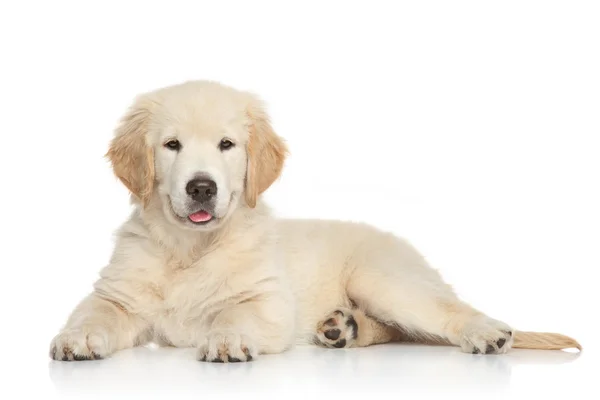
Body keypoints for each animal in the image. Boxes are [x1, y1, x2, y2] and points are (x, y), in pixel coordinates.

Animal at [48, 81, 580, 362]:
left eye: (226, 145)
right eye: (171, 145)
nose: (201, 187)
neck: (190, 248)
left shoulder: (267, 302)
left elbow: (233, 312)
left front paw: (228, 339)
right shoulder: (116, 294)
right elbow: (94, 312)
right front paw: (77, 338)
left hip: (384, 280)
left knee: (449, 313)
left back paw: (489, 333)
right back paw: (342, 329)